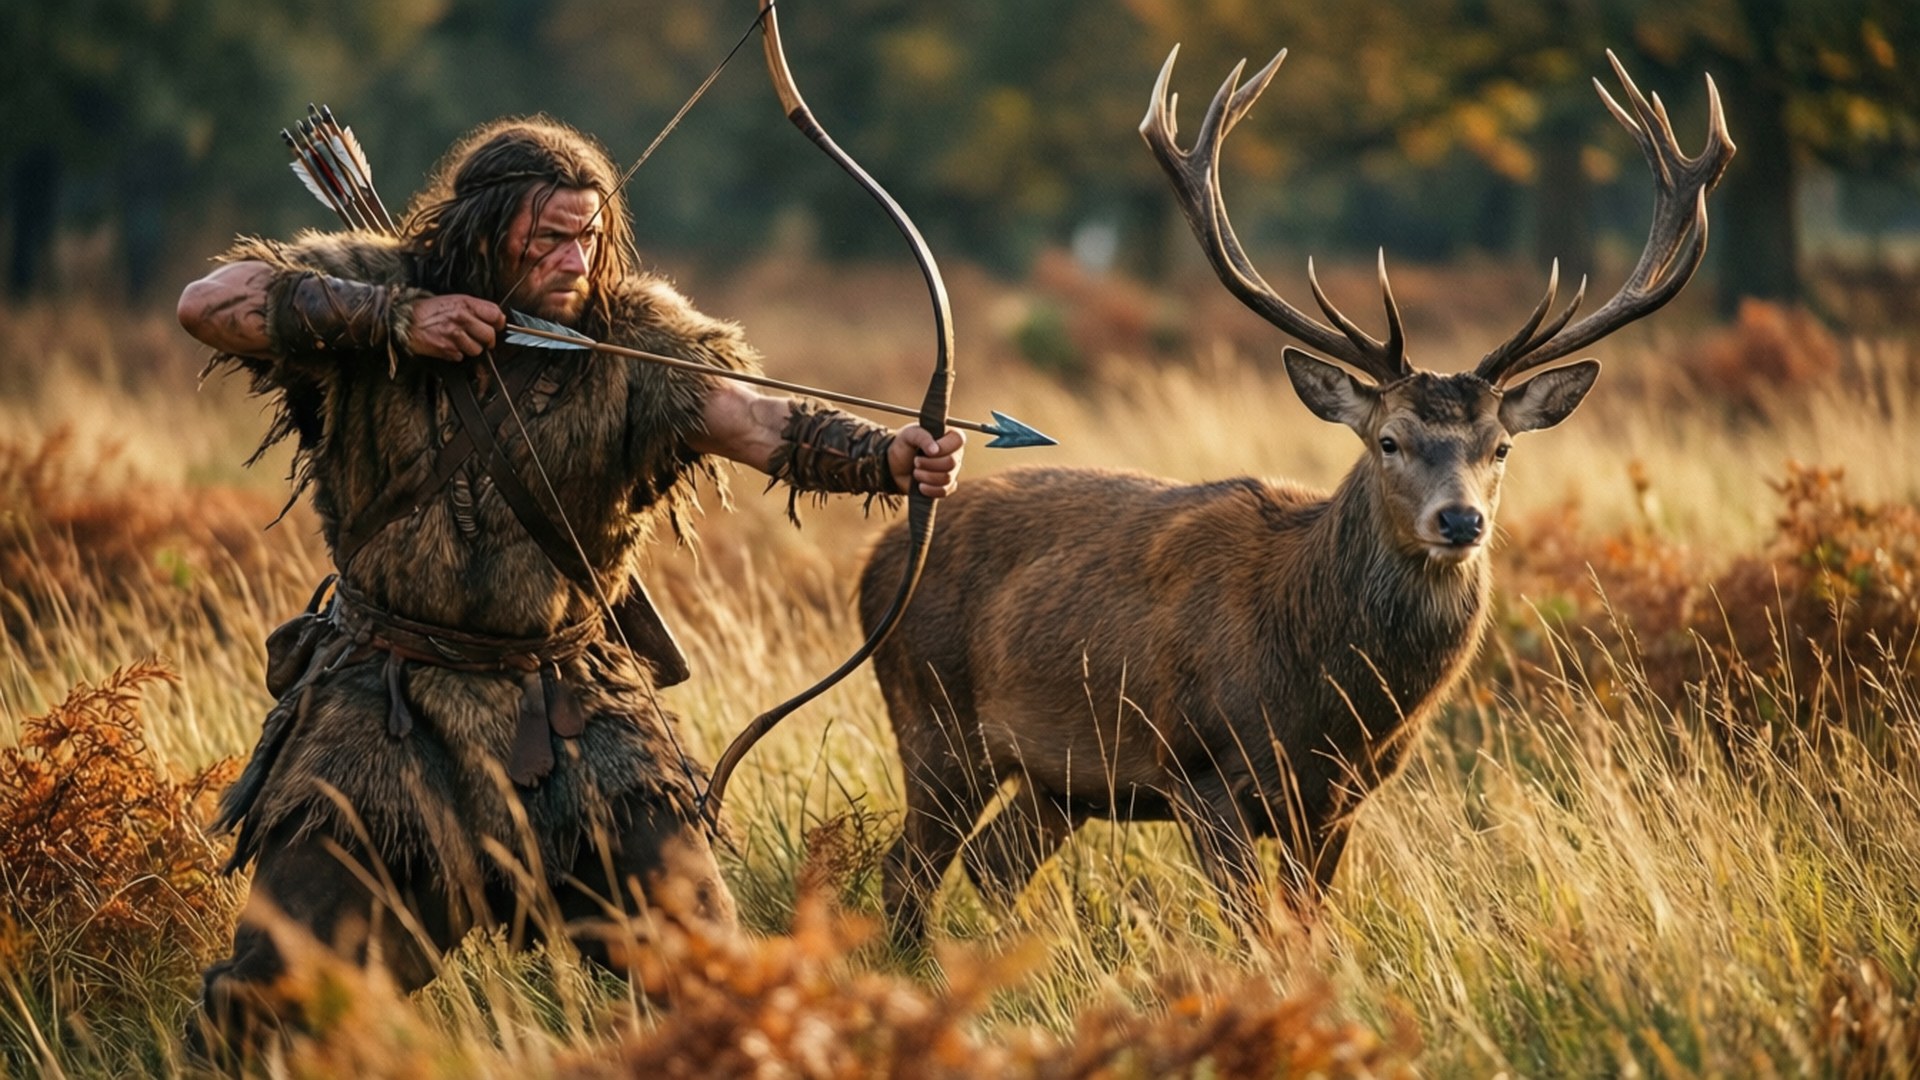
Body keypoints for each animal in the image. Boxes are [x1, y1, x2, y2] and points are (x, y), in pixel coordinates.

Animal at [859, 48, 1733, 944]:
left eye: (1502, 447)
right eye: (1389, 441)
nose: (1460, 519)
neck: (1326, 706)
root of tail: (877, 555)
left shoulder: (1340, 802)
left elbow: (1307, 926)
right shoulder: (1201, 773)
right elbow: (1256, 934)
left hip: (1061, 778)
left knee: (993, 863)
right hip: (932, 719)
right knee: (910, 868)